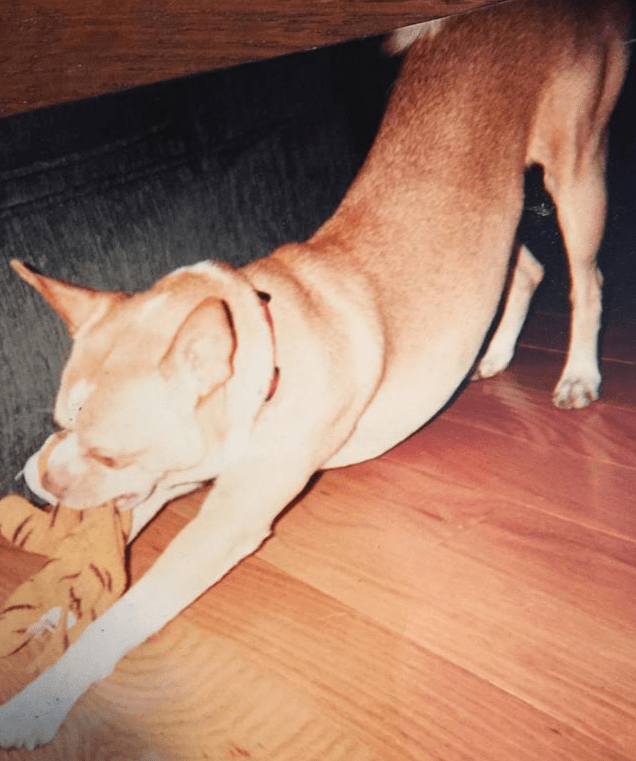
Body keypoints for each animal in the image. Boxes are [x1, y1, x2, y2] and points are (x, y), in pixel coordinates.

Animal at [0, 0, 629, 748]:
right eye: (57, 421)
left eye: (110, 452)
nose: (31, 484)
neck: (270, 347)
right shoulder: (171, 481)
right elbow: (90, 559)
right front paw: (47, 613)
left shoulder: (226, 519)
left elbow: (122, 615)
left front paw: (37, 700)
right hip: (503, 218)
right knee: (527, 267)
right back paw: (497, 354)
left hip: (576, 173)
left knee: (586, 278)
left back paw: (579, 374)